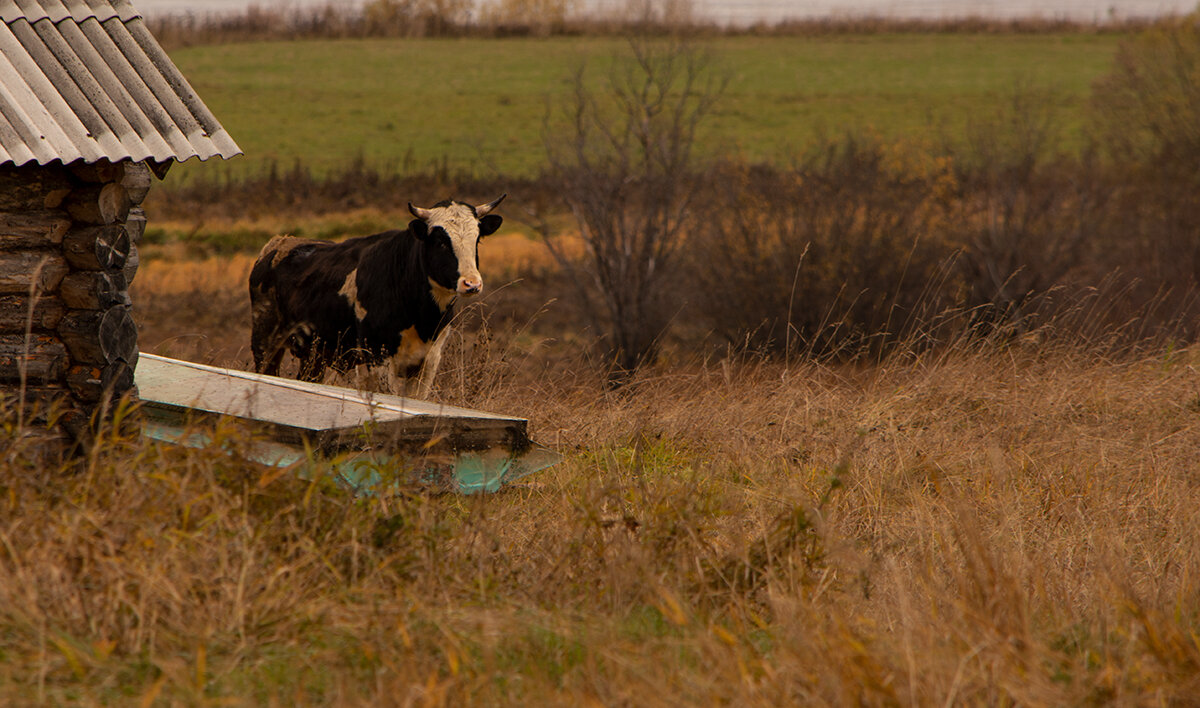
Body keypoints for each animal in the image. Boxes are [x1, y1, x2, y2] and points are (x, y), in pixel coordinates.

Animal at [248, 193, 501, 398]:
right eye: (440, 241)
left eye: (477, 239)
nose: (471, 283)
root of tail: (279, 242)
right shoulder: (377, 357)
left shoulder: (428, 361)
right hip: (265, 344)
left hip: (315, 356)